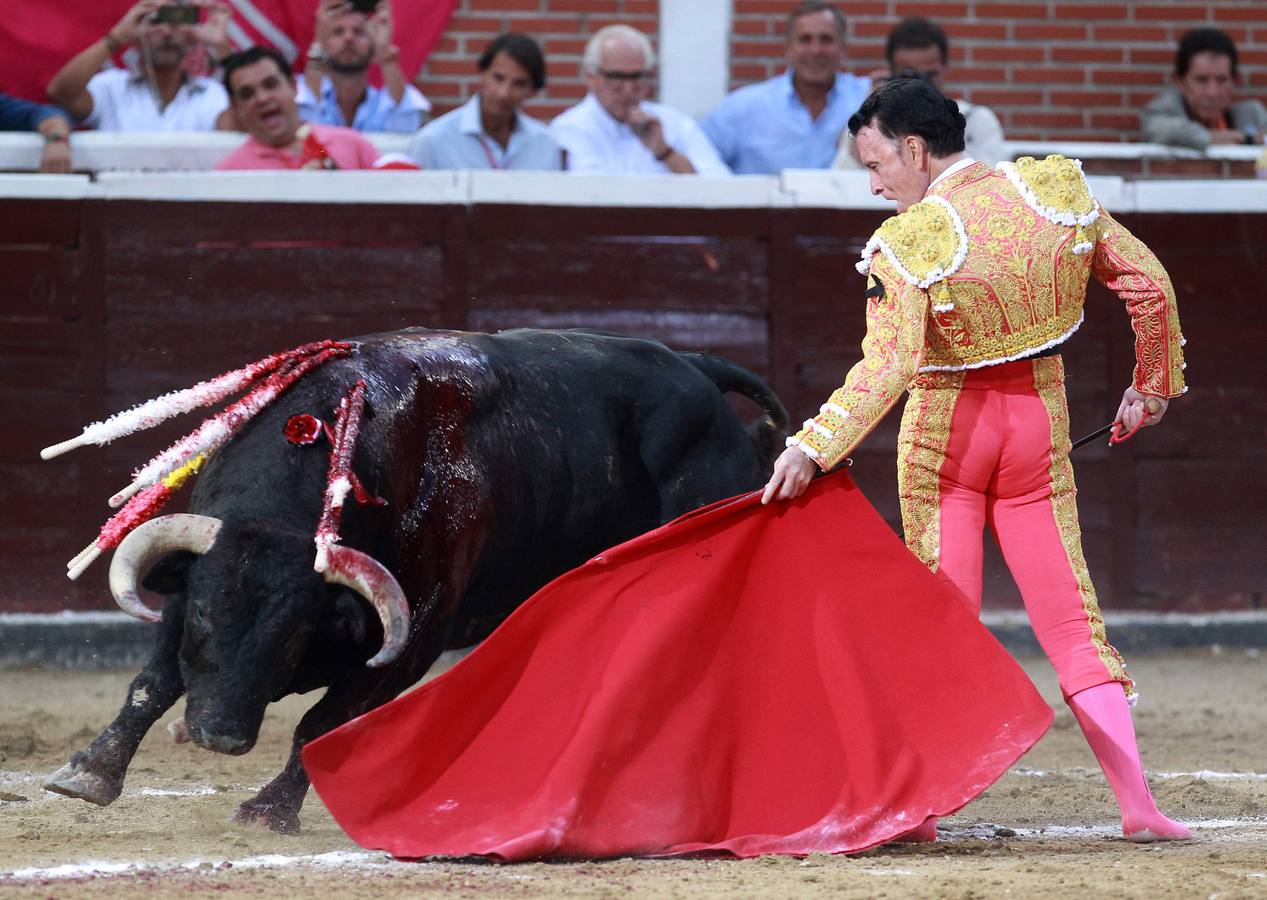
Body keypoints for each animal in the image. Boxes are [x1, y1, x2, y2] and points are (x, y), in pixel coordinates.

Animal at [46, 327, 790, 836]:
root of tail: (695, 367)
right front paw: (89, 772)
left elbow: (321, 723)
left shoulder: (415, 636)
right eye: (205, 615)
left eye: (295, 634)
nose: (218, 736)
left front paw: (268, 811)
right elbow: (152, 684)